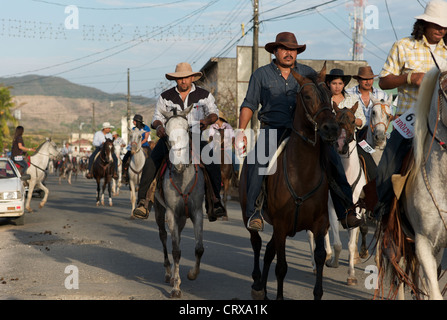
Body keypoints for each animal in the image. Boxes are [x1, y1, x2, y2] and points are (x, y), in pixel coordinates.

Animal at [152, 106, 205, 298]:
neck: (183, 178)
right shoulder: (171, 213)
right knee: (163, 237)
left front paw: (191, 274)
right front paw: (176, 288)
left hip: (182, 218)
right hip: (160, 212)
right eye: (166, 135)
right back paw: (169, 273)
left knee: (179, 238)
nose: (180, 164)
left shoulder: (197, 212)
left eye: (188, 129)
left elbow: (199, 248)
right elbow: (175, 251)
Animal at [240, 63, 338, 300]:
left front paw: (318, 293)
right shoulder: (282, 225)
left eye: (330, 94)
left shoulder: (319, 224)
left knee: (268, 251)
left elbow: (319, 257)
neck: (302, 172)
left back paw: (262, 288)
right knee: (257, 244)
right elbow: (282, 267)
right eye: (307, 95)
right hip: (250, 215)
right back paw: (257, 283)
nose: (331, 129)